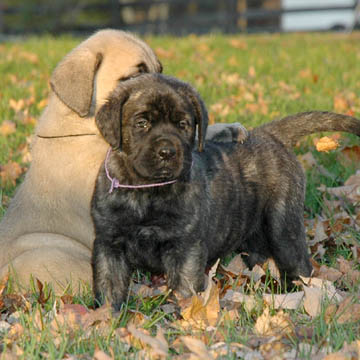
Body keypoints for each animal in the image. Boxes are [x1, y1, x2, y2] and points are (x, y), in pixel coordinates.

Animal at [90, 73, 360, 310]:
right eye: (142, 123)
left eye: (183, 124)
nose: (168, 152)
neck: (146, 192)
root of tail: (270, 133)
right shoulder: (109, 245)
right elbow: (109, 287)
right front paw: (109, 318)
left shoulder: (184, 248)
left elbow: (184, 289)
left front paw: (183, 316)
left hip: (283, 226)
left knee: (299, 266)